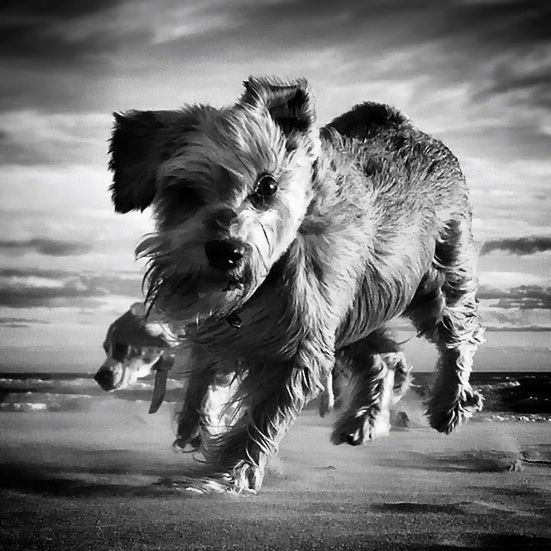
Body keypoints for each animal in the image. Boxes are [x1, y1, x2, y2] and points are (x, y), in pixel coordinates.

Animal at [108, 75, 484, 494]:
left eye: (267, 185)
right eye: (185, 191)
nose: (227, 251)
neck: (269, 275)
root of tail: (403, 125)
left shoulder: (298, 349)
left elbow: (262, 418)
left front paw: (230, 473)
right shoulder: (230, 330)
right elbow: (205, 375)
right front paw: (194, 426)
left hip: (436, 283)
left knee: (458, 337)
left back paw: (450, 405)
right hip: (352, 315)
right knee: (385, 358)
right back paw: (361, 423)